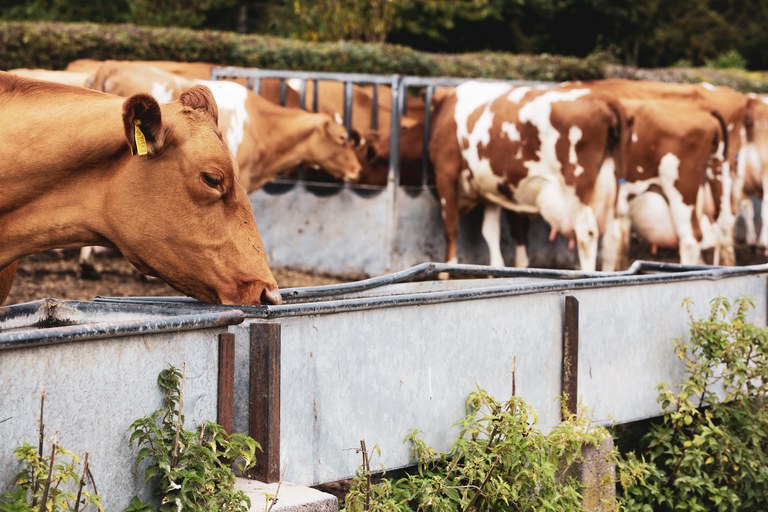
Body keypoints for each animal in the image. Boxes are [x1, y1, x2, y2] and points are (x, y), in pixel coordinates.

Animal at [429, 81, 630, 273]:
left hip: (576, 186)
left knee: (587, 233)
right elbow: (492, 233)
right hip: (610, 186)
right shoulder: (490, 192)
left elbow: (451, 229)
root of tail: (603, 98)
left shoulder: (446, 175)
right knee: (611, 240)